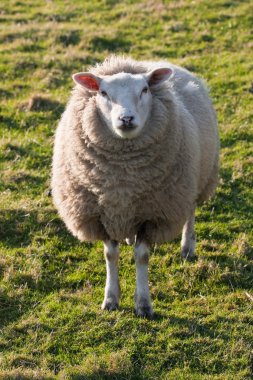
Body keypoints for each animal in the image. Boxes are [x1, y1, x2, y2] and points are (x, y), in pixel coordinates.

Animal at [52, 55, 219, 318]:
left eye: (144, 90)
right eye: (103, 92)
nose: (126, 119)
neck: (124, 180)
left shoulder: (153, 214)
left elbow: (142, 257)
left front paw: (143, 304)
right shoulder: (103, 214)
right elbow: (110, 254)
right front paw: (111, 299)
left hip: (194, 179)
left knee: (190, 212)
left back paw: (187, 247)